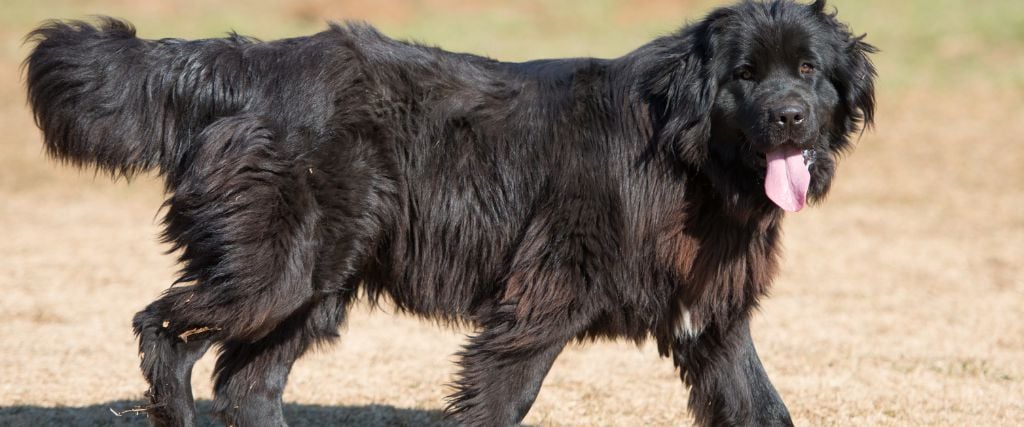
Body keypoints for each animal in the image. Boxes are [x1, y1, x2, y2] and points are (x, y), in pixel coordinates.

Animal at [24, 1, 872, 423]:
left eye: (808, 70)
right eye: (744, 75)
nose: (791, 117)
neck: (684, 149)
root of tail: (247, 62)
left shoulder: (712, 321)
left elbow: (763, 407)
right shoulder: (538, 302)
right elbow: (502, 397)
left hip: (314, 288)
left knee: (248, 385)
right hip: (273, 271)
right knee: (164, 330)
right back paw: (171, 408)